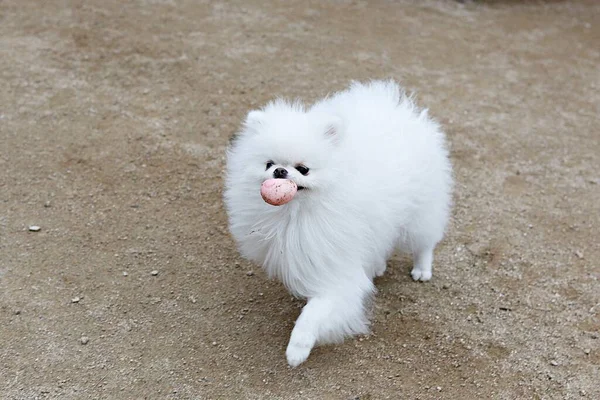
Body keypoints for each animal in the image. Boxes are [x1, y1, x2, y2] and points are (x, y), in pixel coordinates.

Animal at [223, 79, 452, 368]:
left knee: (424, 243)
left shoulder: (335, 271)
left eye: (303, 169)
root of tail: (398, 108)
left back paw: (422, 270)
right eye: (268, 164)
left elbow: (314, 313)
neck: (296, 213)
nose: (280, 171)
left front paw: (297, 349)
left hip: (420, 213)